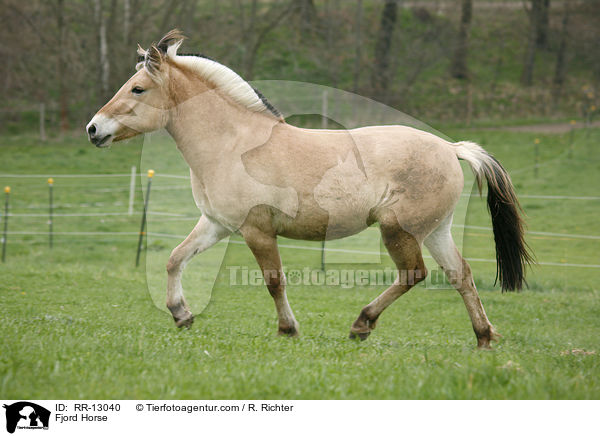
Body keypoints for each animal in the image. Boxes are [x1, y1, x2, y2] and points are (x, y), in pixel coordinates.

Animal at [86, 29, 532, 348]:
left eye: (138, 88)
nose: (93, 129)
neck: (233, 144)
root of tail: (451, 148)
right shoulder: (217, 224)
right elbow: (175, 259)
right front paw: (181, 314)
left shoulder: (256, 230)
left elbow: (274, 281)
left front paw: (288, 330)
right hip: (436, 230)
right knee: (461, 275)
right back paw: (483, 338)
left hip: (398, 230)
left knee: (414, 274)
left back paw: (361, 325)